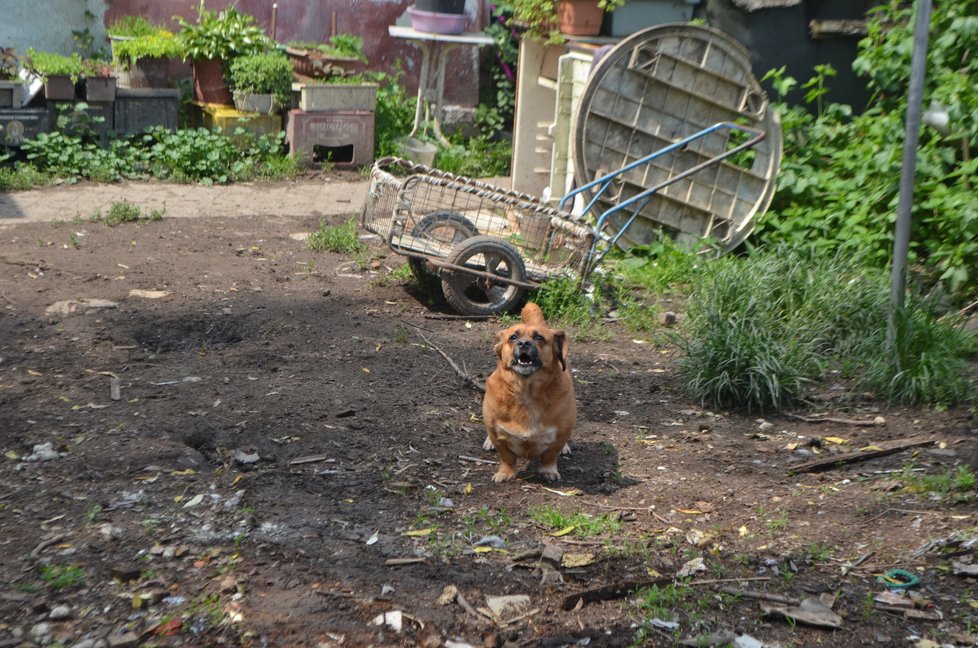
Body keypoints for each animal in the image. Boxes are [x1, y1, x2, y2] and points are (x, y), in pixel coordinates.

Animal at [484, 304, 576, 480]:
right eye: (513, 337)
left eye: (539, 338)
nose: (524, 343)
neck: (526, 391)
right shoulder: (496, 433)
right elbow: (507, 457)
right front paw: (505, 472)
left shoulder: (559, 436)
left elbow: (550, 456)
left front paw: (548, 470)